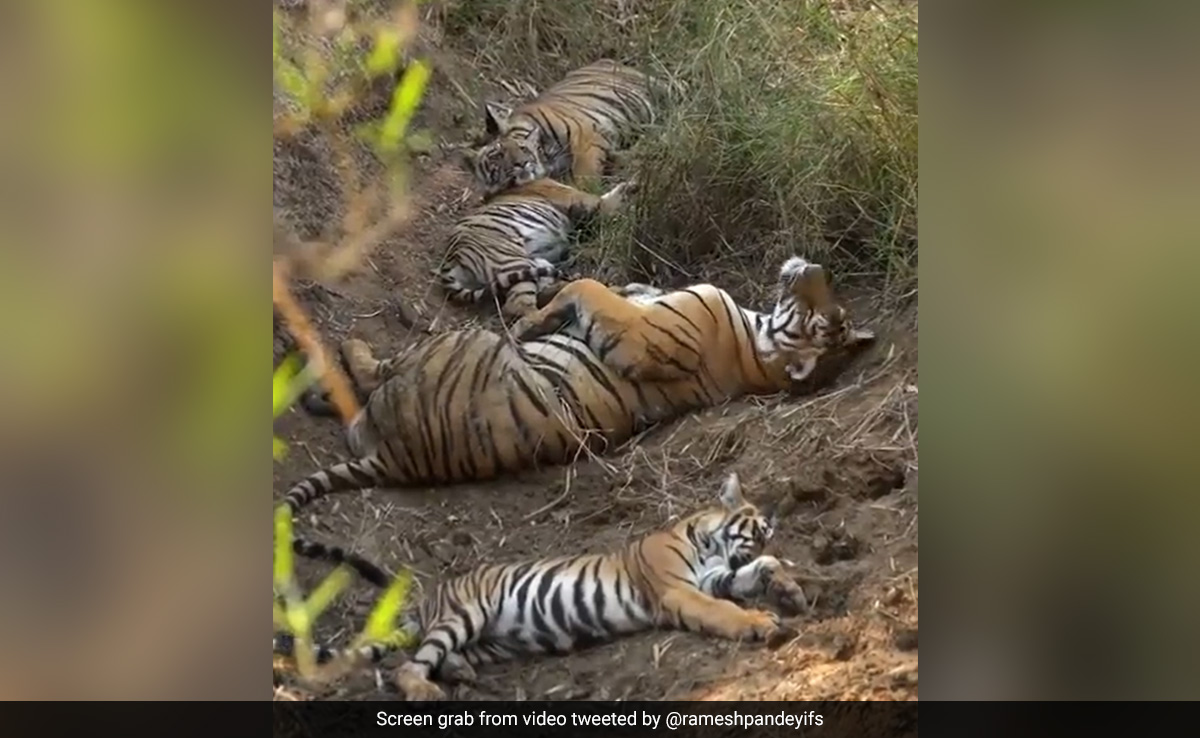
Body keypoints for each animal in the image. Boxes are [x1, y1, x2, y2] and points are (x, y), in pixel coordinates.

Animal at [274, 472, 809, 701]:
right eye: (757, 528)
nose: (769, 531)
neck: (704, 539)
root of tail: (429, 601)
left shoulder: (715, 575)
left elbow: (756, 572)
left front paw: (788, 588)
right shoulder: (678, 589)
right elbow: (725, 609)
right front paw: (763, 622)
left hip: (494, 641)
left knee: (439, 655)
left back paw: (460, 671)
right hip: (465, 614)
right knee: (411, 665)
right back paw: (427, 692)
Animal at [436, 177, 635, 320]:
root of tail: (449, 261)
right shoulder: (579, 199)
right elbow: (605, 200)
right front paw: (632, 186)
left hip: (535, 263)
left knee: (542, 290)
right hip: (512, 261)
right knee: (519, 308)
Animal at [465, 59, 658, 195]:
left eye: (503, 152)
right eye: (496, 158)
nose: (520, 165)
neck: (547, 156)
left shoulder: (586, 135)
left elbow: (584, 173)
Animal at [510, 258, 868, 383]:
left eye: (810, 314)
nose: (817, 268)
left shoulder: (636, 332)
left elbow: (585, 285)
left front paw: (523, 325)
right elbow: (616, 285)